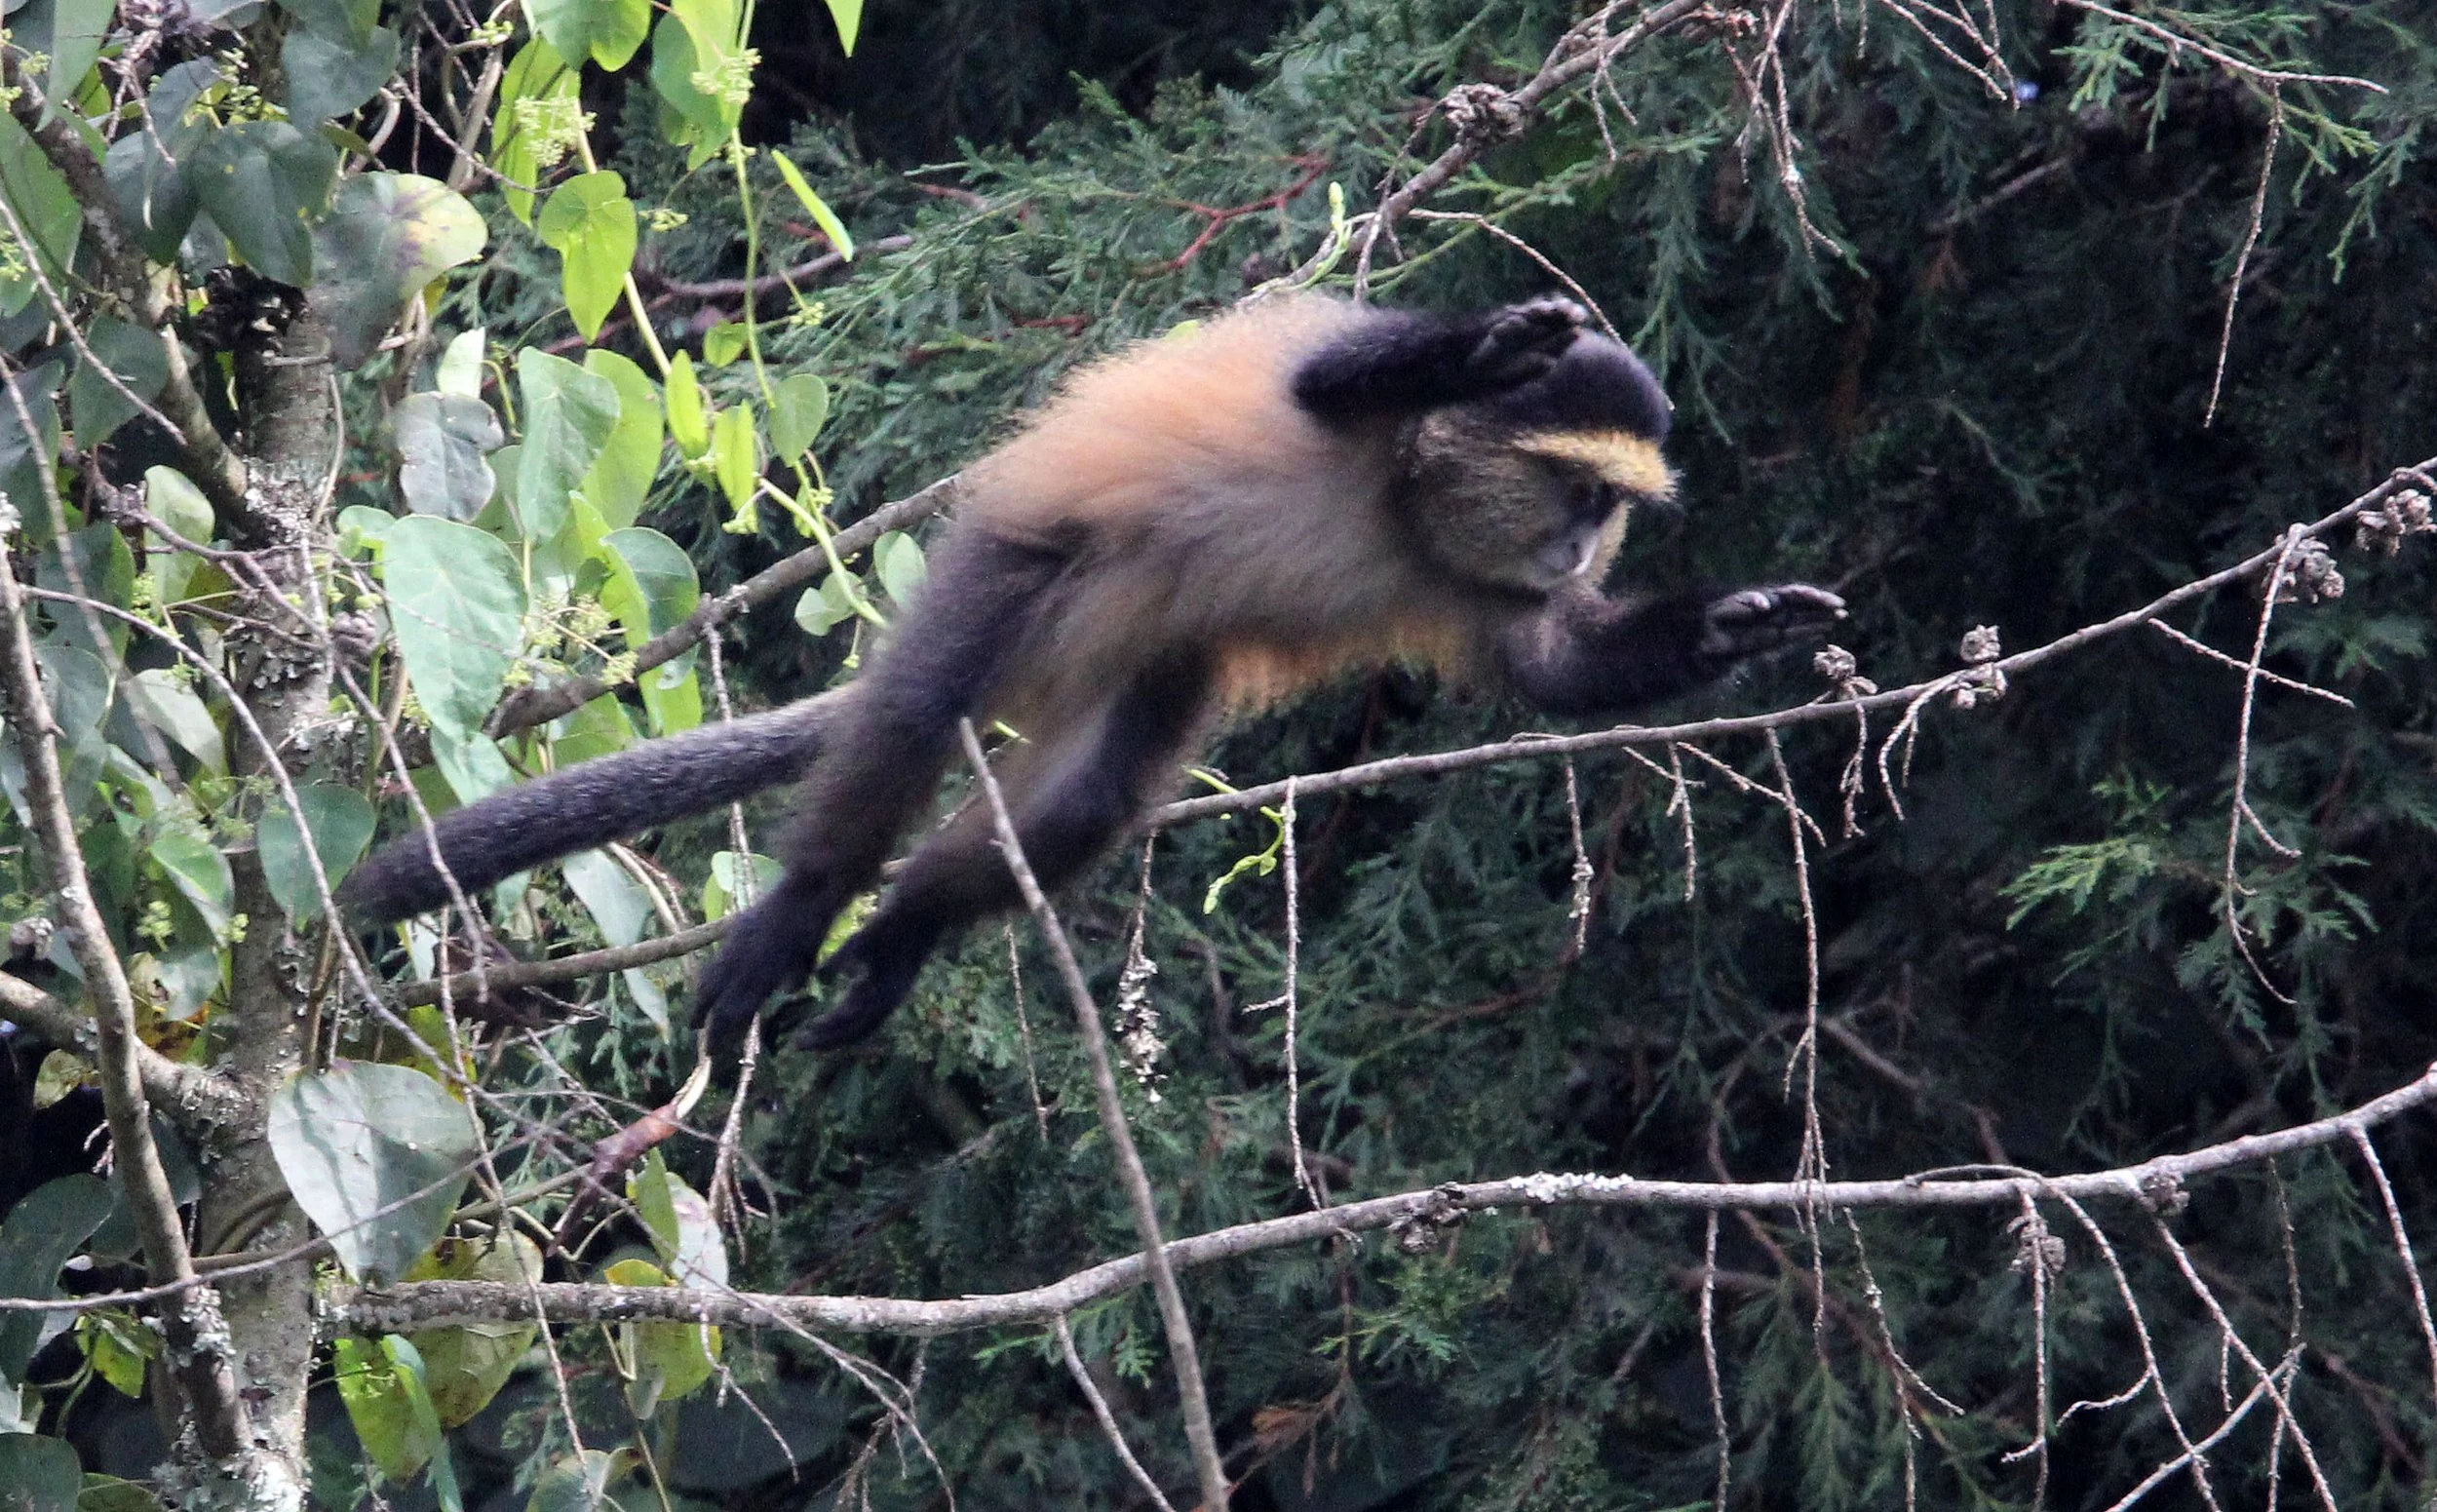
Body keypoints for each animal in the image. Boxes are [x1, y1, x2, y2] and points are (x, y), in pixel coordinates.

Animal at [341, 295, 1844, 1052]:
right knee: (913, 715)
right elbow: (1325, 382)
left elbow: (1555, 669)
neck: (1405, 505)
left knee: (1087, 800)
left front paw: (1740, 624)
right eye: (1579, 490)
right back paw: (811, 909)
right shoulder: (1352, 412)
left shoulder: (1488, 583)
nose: (1585, 541)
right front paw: (1482, 343)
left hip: (1153, 659)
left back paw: (902, 933)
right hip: (1017, 582)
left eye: (1613, 508)